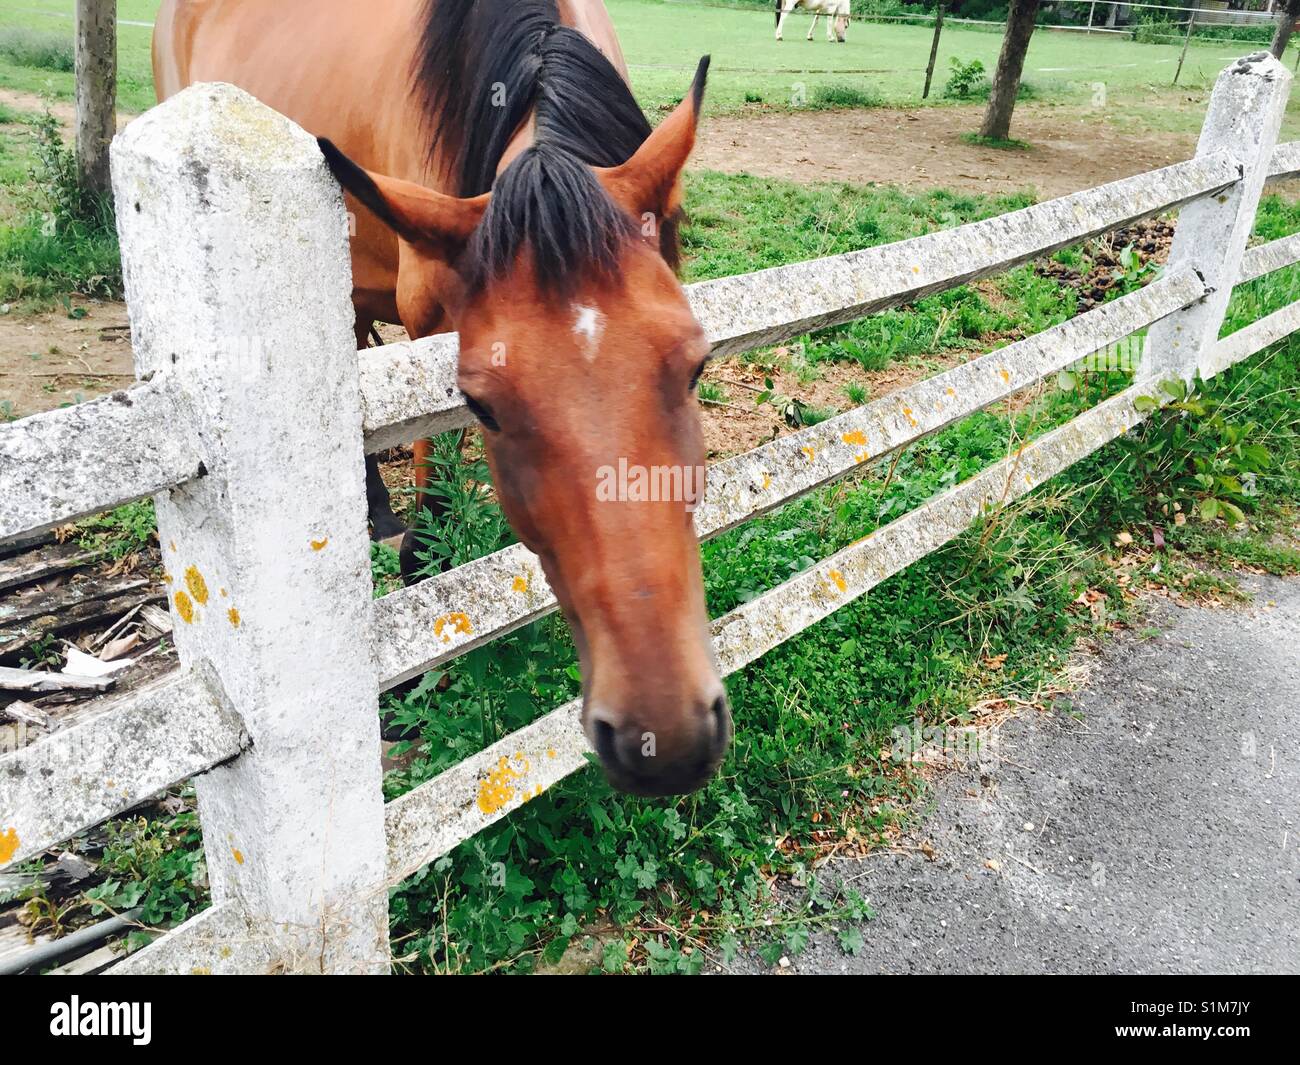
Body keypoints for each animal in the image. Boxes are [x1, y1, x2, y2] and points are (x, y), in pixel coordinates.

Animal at [153, 0, 730, 798]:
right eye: (482, 405)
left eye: (696, 365)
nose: (664, 736)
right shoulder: (429, 327)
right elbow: (429, 529)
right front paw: (406, 695)